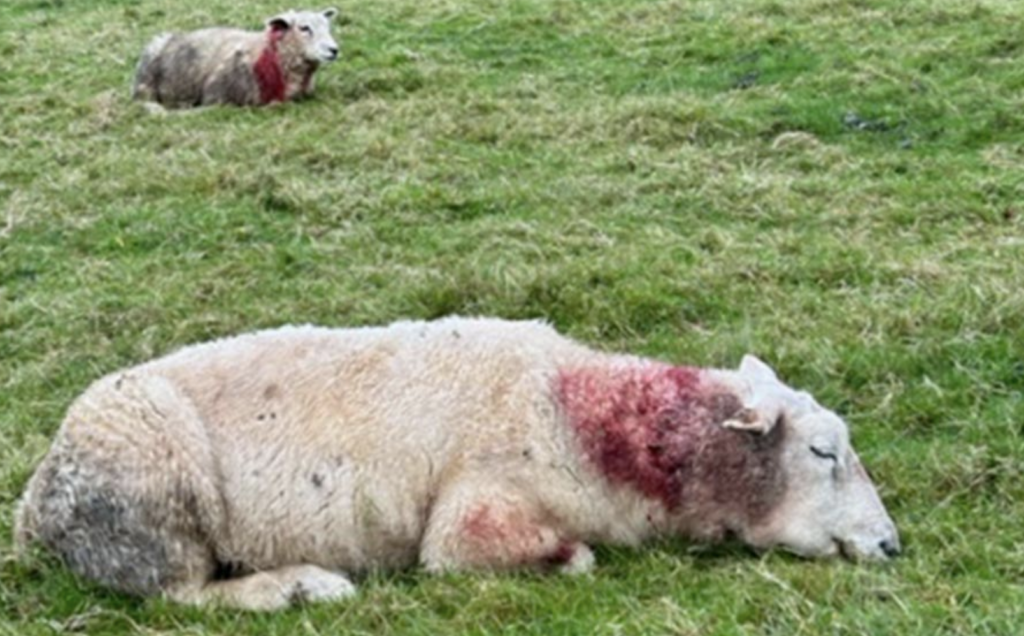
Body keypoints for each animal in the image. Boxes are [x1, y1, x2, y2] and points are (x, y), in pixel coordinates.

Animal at [14, 317, 900, 611]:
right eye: (822, 451)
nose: (891, 545)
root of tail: (32, 509)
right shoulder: (473, 519)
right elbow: (573, 559)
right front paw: (567, 558)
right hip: (155, 484)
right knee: (178, 596)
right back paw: (301, 587)